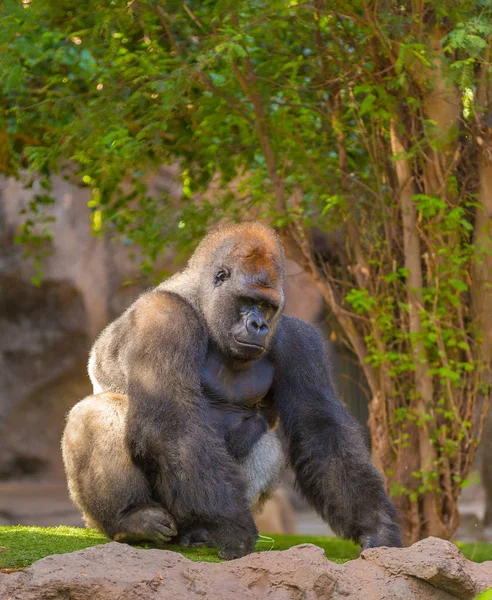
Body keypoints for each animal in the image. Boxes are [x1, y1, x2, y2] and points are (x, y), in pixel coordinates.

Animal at [61, 223, 402, 560]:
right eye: (248, 300)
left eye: (266, 306)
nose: (259, 325)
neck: (202, 304)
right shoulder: (162, 318)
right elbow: (172, 424)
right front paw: (233, 527)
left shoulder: (300, 342)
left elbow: (320, 433)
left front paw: (376, 526)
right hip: (95, 518)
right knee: (99, 410)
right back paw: (132, 519)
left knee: (266, 444)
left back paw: (198, 533)